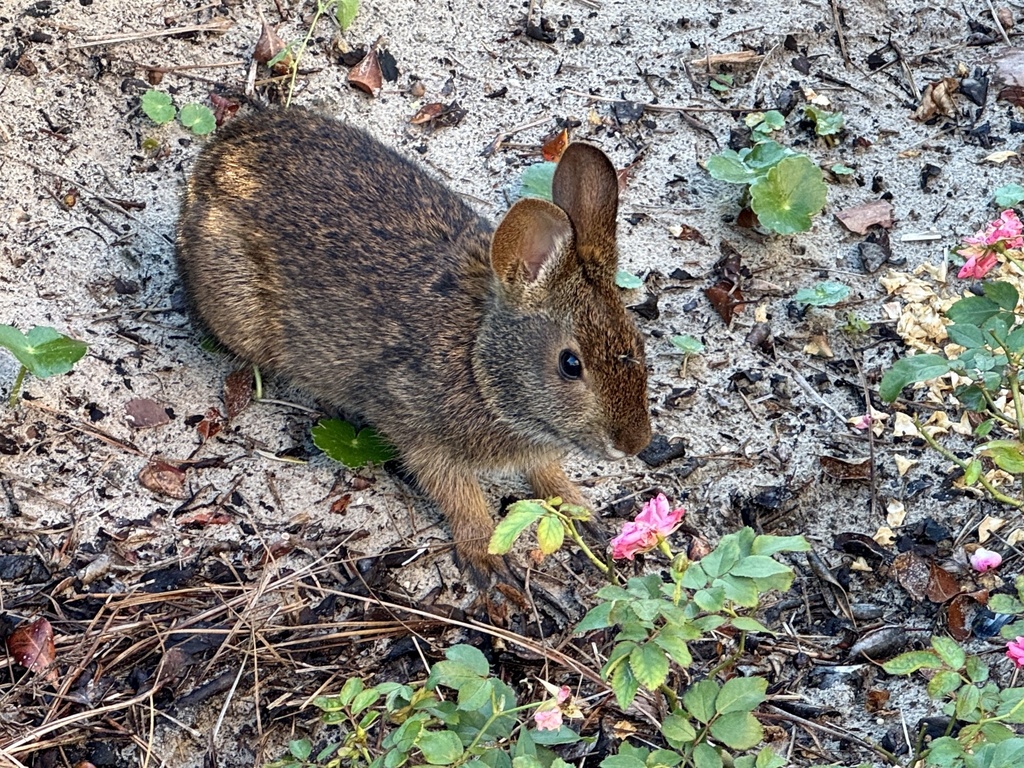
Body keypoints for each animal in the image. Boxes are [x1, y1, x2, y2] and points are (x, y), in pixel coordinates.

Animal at [176, 108, 652, 586]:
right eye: (570, 363)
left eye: (637, 340)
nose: (634, 444)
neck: (479, 361)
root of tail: (211, 162)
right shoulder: (424, 435)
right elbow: (459, 494)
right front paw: (488, 559)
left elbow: (547, 474)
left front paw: (584, 514)